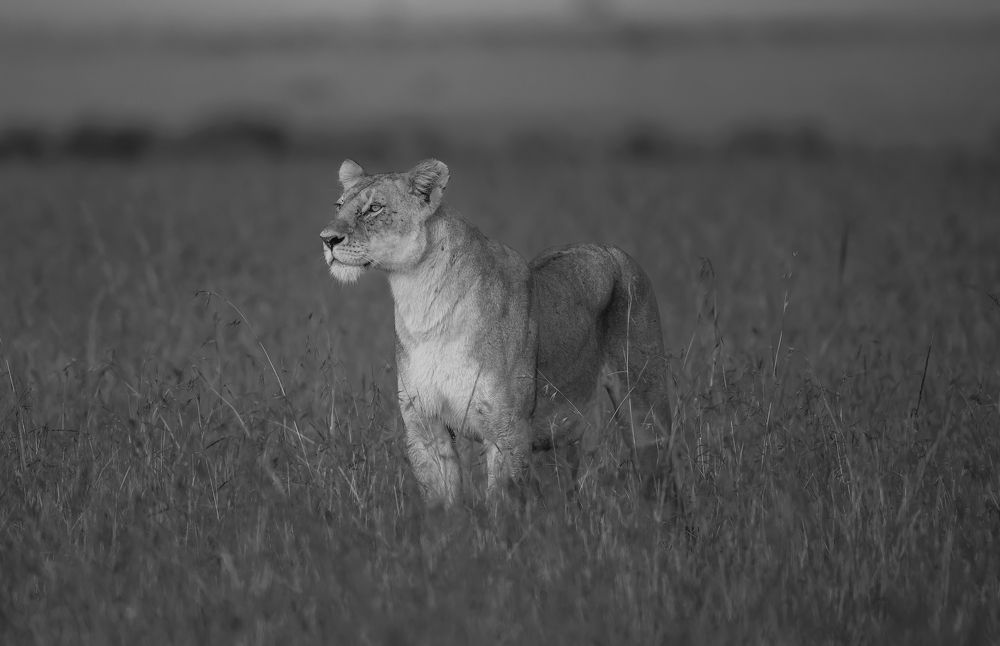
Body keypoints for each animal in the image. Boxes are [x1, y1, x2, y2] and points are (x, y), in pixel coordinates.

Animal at [321, 158, 674, 507]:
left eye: (374, 208)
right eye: (339, 205)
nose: (327, 239)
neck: (421, 305)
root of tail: (610, 248)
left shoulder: (508, 429)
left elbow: (502, 505)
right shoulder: (424, 425)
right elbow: (441, 503)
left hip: (643, 406)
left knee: (655, 463)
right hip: (557, 434)